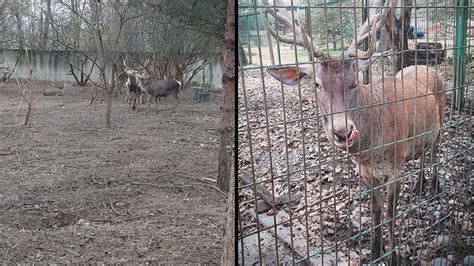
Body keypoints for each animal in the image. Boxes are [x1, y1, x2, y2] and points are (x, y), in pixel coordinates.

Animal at [262, 1, 446, 264]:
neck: (370, 151)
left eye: (355, 82)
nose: (342, 131)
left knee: (435, 152)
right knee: (423, 151)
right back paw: (420, 184)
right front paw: (374, 253)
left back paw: (434, 186)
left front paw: (393, 257)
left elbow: (390, 215)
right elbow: (376, 213)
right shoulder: (367, 173)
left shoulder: (396, 166)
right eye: (317, 84)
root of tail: (430, 68)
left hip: (441, 119)